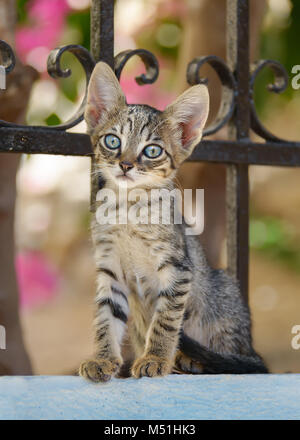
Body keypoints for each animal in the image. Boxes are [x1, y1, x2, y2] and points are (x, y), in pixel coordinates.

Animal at [79, 62, 268, 382]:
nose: (125, 165)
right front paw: (102, 359)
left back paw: (194, 361)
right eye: (112, 141)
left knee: (235, 360)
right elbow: (105, 319)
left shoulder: (178, 268)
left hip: (224, 292)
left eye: (152, 151)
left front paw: (155, 357)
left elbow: (165, 320)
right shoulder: (110, 269)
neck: (128, 209)